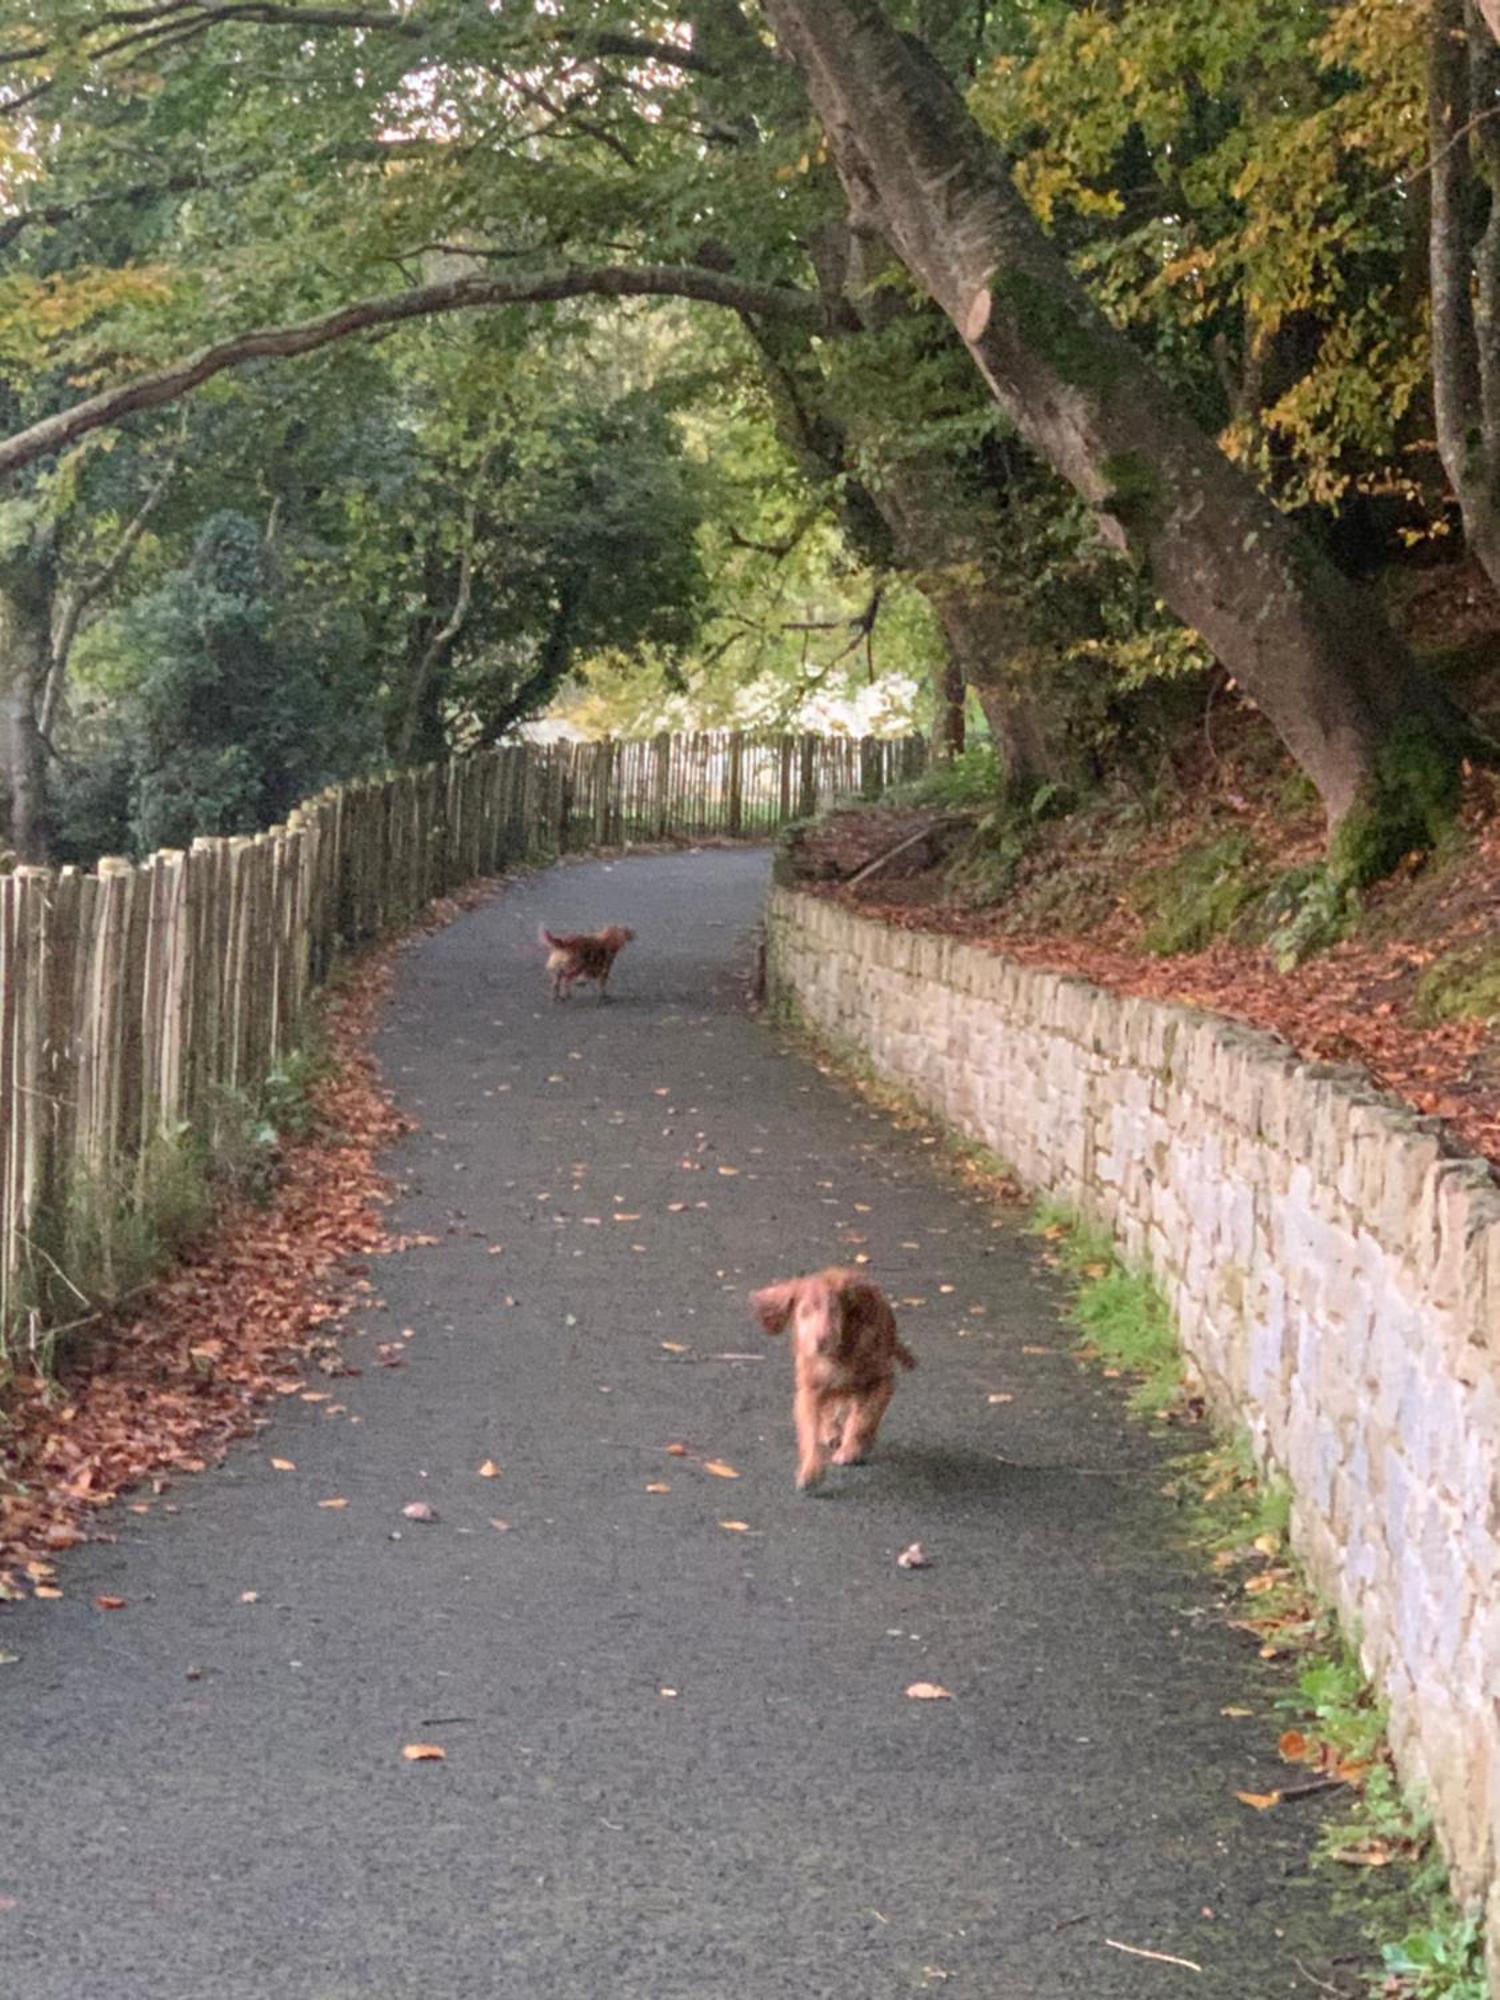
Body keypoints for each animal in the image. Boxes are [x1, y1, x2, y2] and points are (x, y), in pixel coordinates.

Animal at [752, 1264, 916, 1488]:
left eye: (834, 1311)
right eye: (805, 1312)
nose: (821, 1341)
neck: (838, 1355)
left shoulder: (882, 1381)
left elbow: (864, 1417)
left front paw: (850, 1450)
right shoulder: (810, 1390)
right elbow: (810, 1430)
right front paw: (811, 1470)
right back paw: (831, 1431)